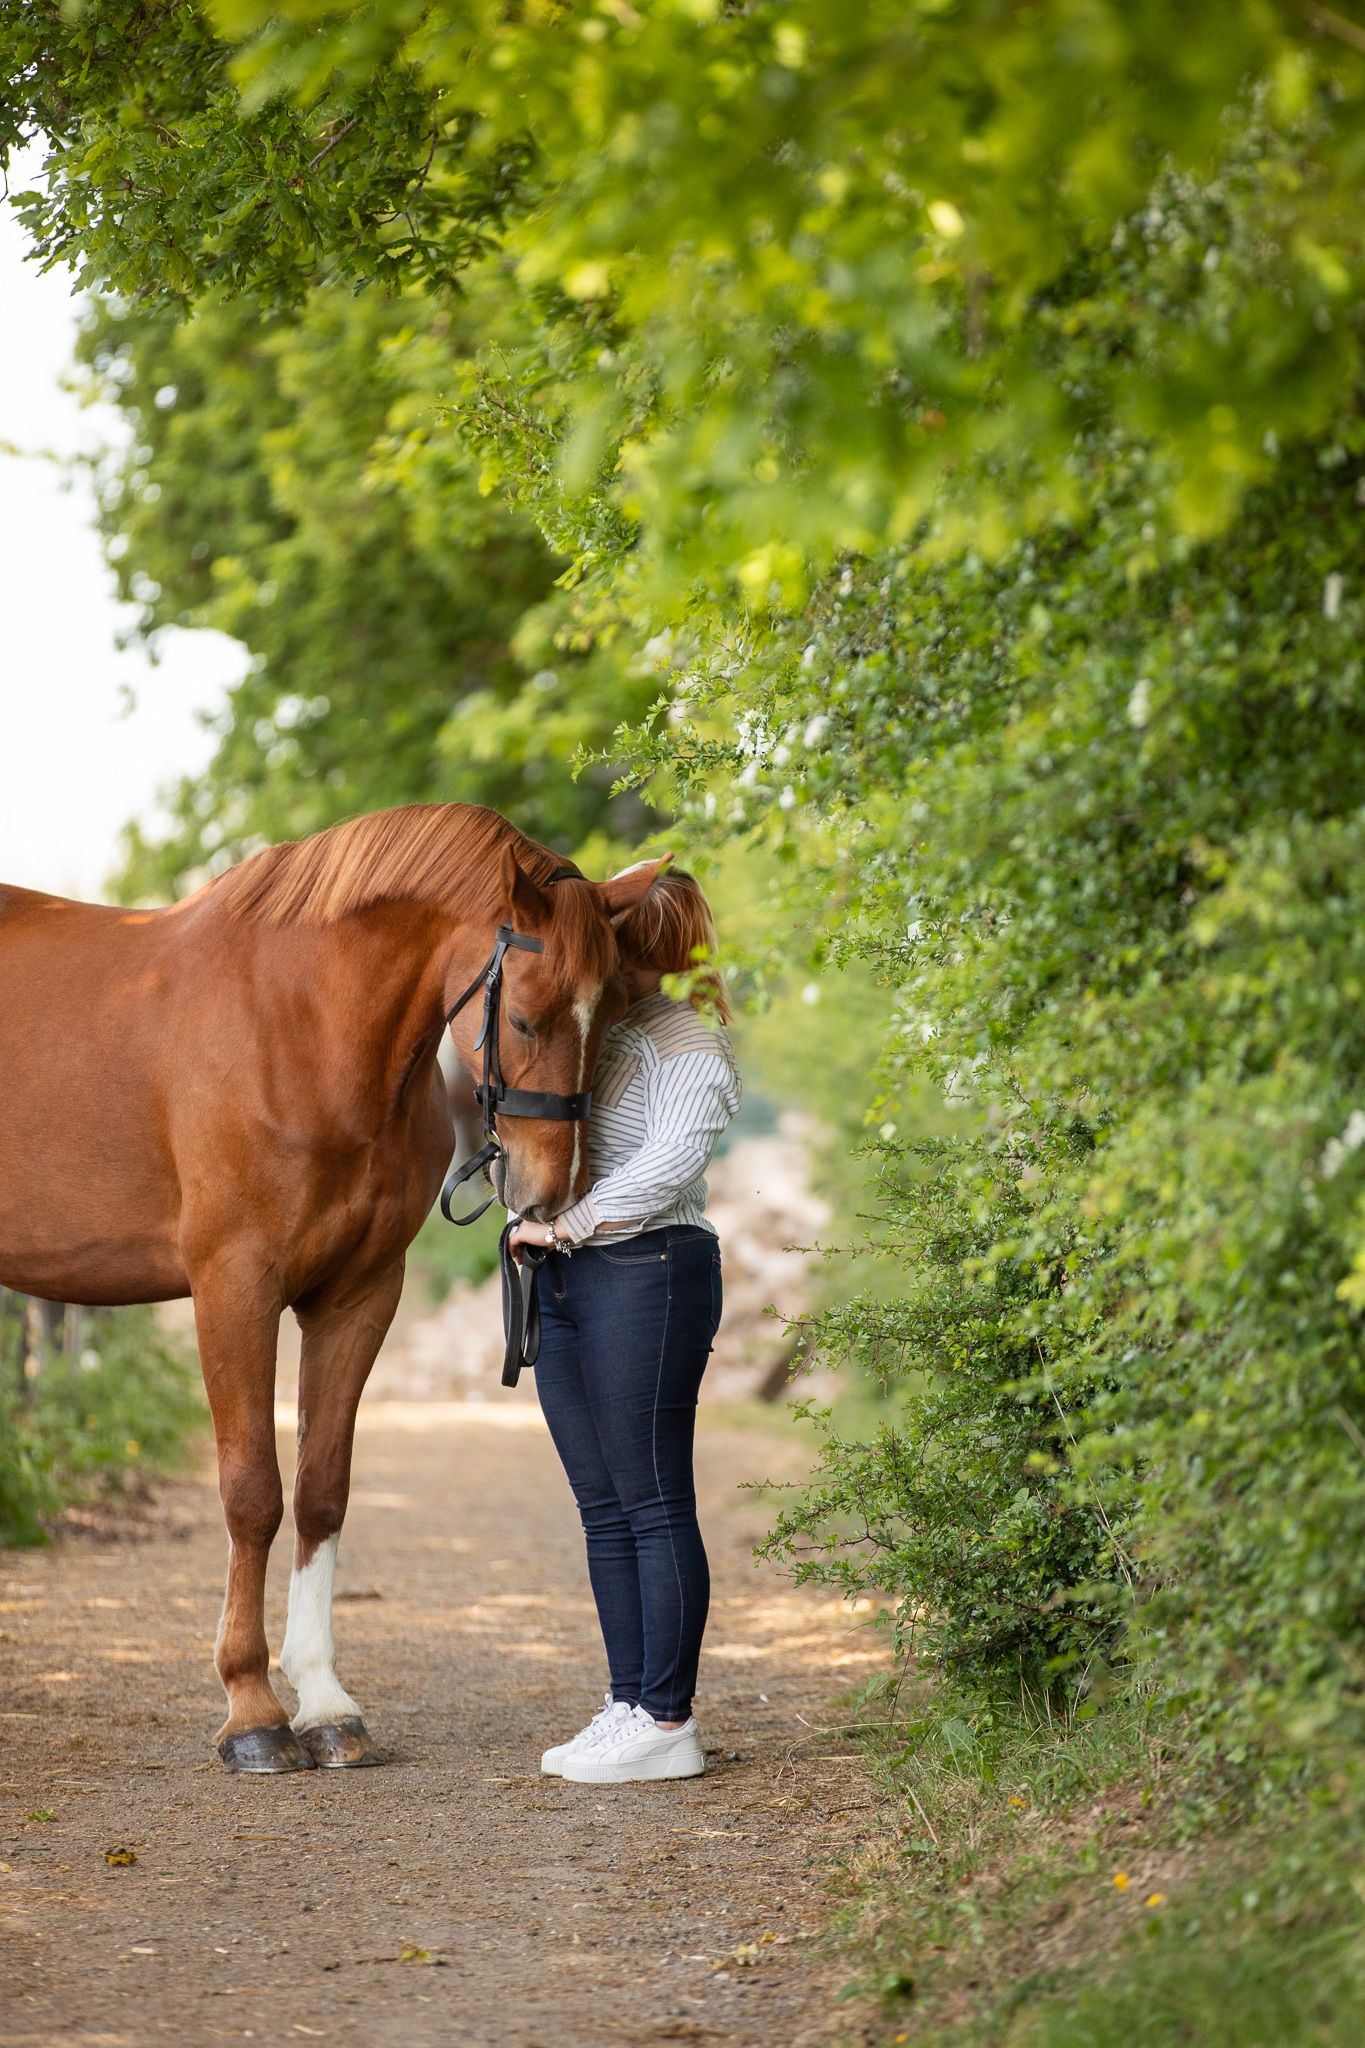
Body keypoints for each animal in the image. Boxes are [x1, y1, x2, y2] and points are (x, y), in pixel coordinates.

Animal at [0, 803, 664, 1773]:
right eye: (527, 1018)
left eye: (613, 1014)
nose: (552, 1194)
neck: (301, 1031)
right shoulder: (233, 1288)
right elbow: (252, 1494)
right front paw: (251, 1712)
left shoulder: (357, 1296)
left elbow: (322, 1488)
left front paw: (324, 1705)